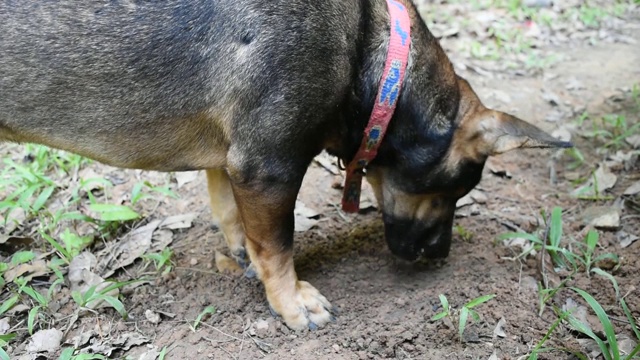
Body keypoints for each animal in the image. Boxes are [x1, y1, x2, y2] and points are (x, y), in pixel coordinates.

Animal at [0, 0, 568, 332]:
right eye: (455, 187)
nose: (440, 255)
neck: (375, 54)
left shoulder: (232, 160)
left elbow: (236, 220)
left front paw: (242, 259)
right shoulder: (267, 166)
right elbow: (278, 244)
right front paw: (292, 303)